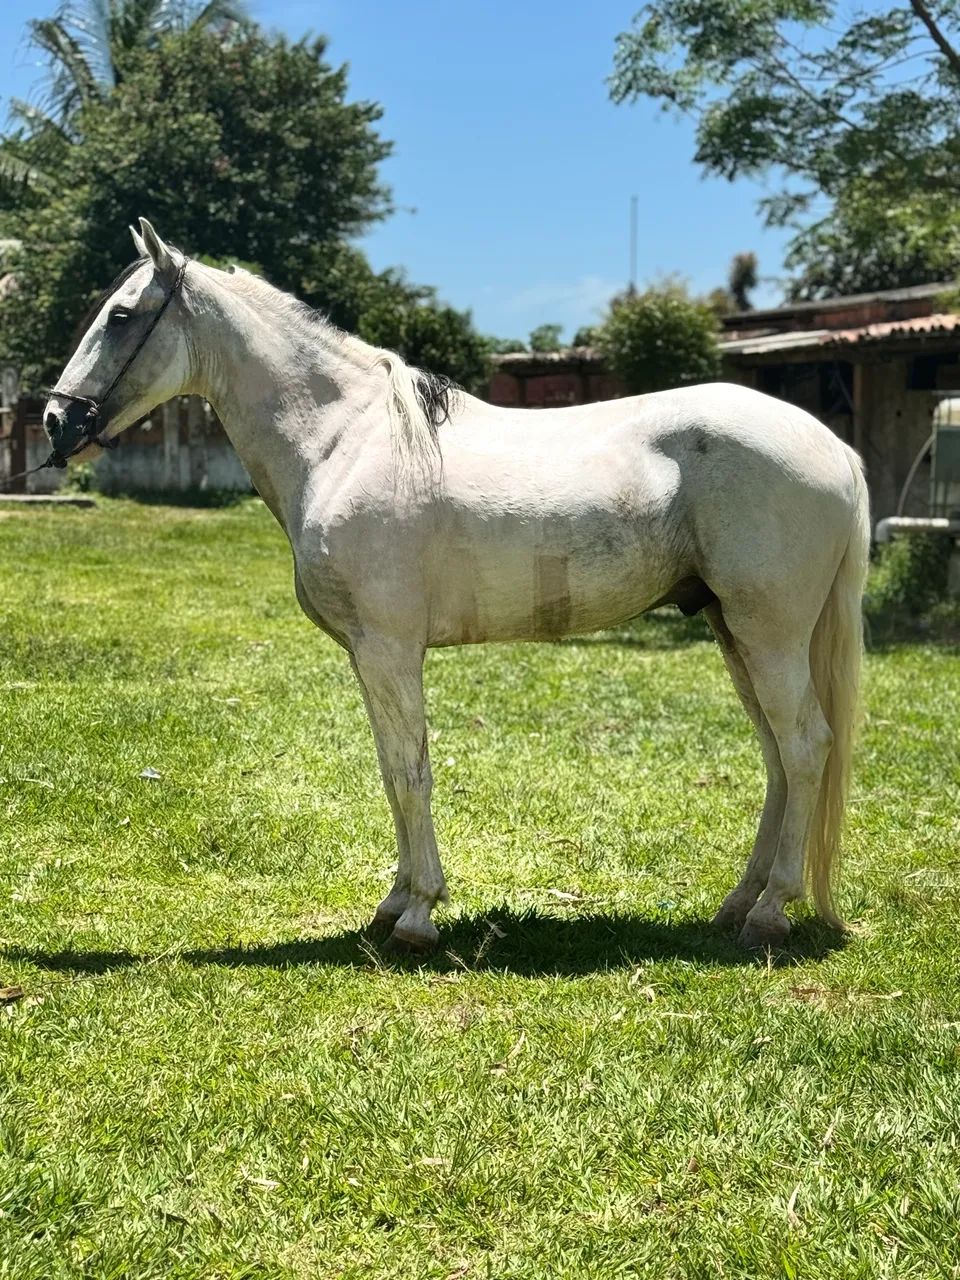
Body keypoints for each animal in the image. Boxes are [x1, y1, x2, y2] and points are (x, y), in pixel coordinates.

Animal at [44, 218, 870, 954]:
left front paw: (418, 915)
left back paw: (771, 913)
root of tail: (834, 447)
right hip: (735, 633)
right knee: (778, 757)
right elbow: (391, 771)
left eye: (120, 317)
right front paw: (394, 902)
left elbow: (412, 772)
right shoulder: (369, 656)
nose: (56, 421)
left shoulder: (389, 649)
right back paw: (739, 904)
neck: (345, 441)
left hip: (769, 635)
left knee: (804, 747)